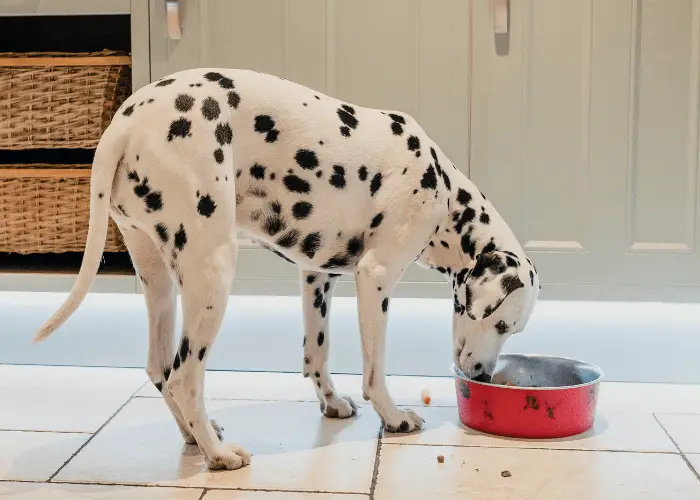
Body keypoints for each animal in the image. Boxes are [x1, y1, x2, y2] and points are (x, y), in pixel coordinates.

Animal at [34, 68, 540, 470]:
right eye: (501, 324)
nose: (481, 377)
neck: (443, 190)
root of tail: (124, 123)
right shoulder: (375, 280)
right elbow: (375, 372)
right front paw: (394, 417)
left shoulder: (317, 277)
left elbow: (317, 353)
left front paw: (331, 403)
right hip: (213, 275)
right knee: (184, 376)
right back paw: (218, 453)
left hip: (159, 283)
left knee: (160, 369)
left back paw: (197, 436)